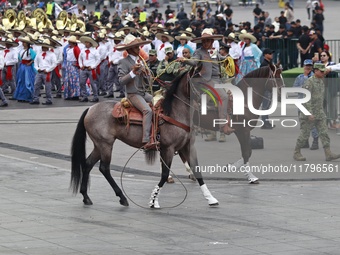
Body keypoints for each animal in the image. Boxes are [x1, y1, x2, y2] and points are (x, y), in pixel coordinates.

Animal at [70, 68, 219, 208]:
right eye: (198, 83)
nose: (214, 100)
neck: (175, 113)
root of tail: (90, 109)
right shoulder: (168, 149)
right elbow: (165, 174)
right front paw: (154, 200)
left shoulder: (186, 146)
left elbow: (197, 170)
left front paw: (211, 198)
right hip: (105, 144)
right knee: (104, 168)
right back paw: (122, 197)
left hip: (99, 145)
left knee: (88, 164)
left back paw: (86, 196)